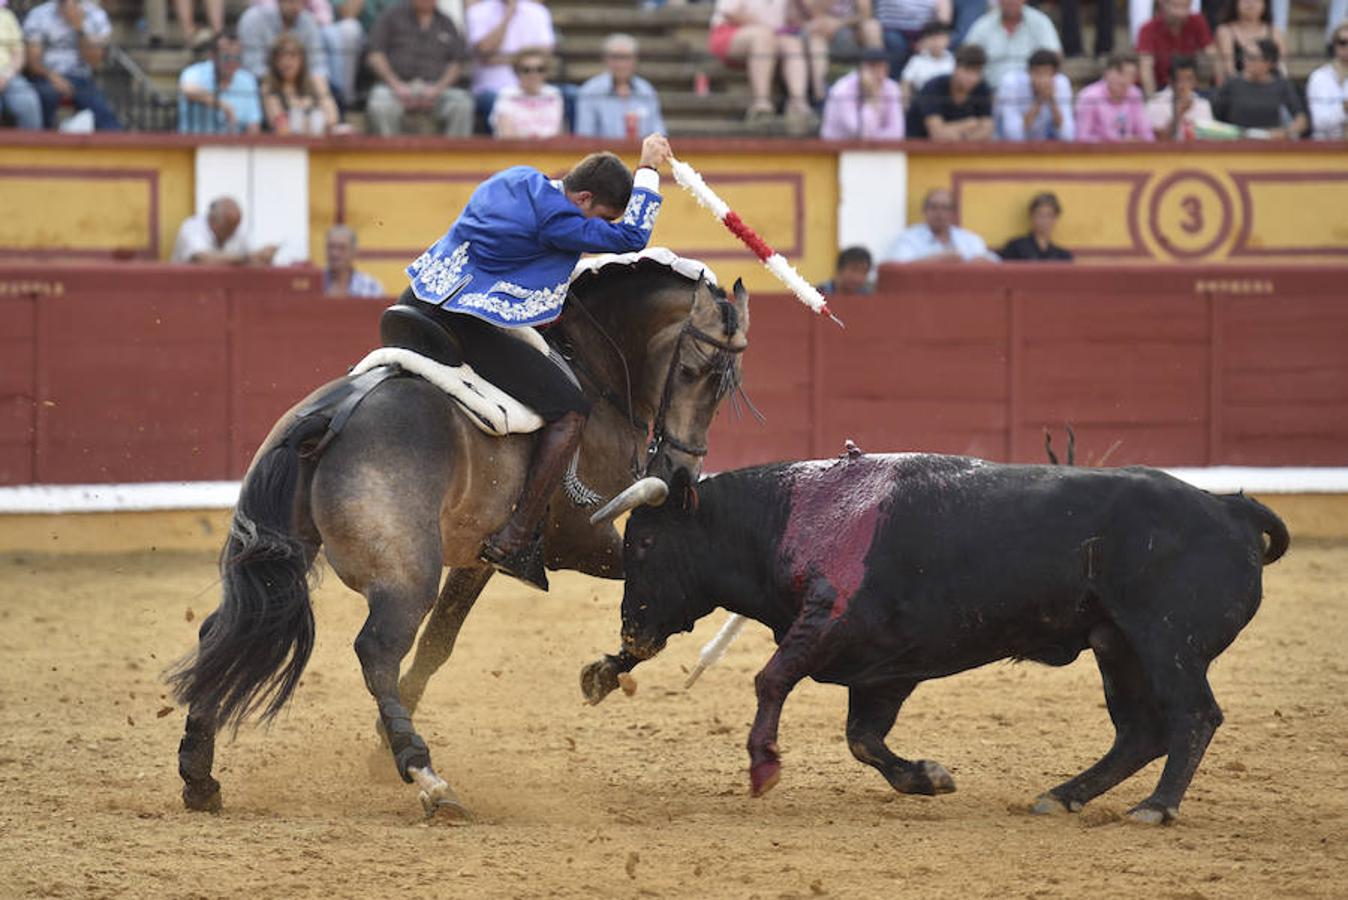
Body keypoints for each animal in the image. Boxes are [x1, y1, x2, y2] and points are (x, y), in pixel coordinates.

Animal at [585, 452, 1288, 824]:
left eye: (643, 544)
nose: (631, 635)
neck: (785, 517)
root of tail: (1228, 506)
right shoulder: (883, 670)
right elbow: (863, 739)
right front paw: (927, 778)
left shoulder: (828, 624)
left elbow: (772, 679)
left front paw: (764, 767)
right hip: (1117, 646)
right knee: (1140, 730)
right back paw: (1062, 796)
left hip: (1166, 642)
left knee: (1193, 715)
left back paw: (1157, 807)